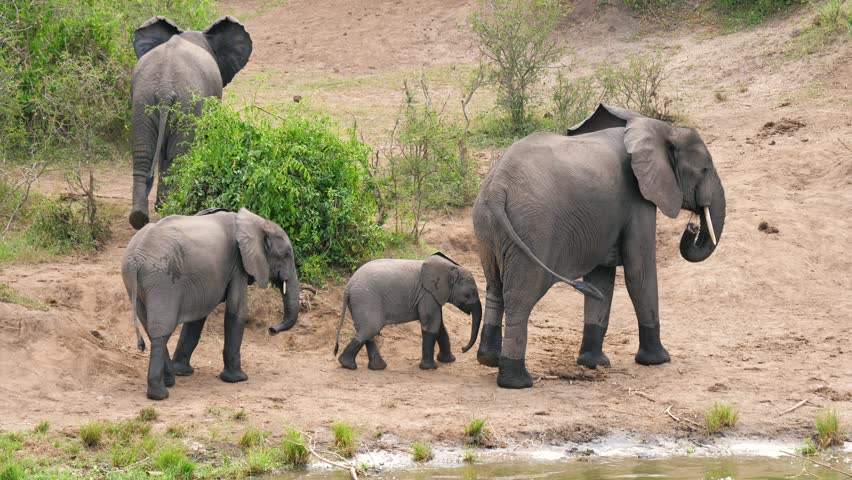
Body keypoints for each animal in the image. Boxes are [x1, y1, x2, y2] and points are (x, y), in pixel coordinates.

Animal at [121, 208, 300, 400]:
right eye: (286, 254)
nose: (272, 329)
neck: (257, 222)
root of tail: (136, 259)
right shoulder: (238, 264)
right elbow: (237, 309)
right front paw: (238, 379)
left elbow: (198, 316)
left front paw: (183, 372)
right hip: (162, 280)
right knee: (161, 329)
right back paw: (160, 394)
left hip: (136, 283)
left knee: (151, 329)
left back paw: (170, 380)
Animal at [128, 16, 252, 230]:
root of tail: (165, 89)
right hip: (186, 104)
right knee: (178, 157)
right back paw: (171, 210)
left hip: (143, 101)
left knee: (144, 154)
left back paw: (141, 217)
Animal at [333, 253, 483, 371]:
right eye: (468, 295)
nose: (463, 349)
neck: (451, 267)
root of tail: (348, 286)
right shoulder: (426, 294)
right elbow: (431, 324)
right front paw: (430, 368)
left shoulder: (432, 295)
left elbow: (440, 326)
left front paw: (448, 360)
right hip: (366, 300)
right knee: (370, 328)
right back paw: (348, 365)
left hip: (360, 301)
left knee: (367, 331)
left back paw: (376, 367)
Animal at [472, 104, 726, 389]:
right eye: (705, 170)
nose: (691, 228)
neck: (656, 127)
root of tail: (497, 189)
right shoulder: (637, 199)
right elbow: (639, 274)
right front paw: (659, 360)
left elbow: (602, 280)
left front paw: (594, 363)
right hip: (533, 228)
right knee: (520, 297)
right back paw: (517, 381)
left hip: (486, 227)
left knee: (494, 286)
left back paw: (488, 360)